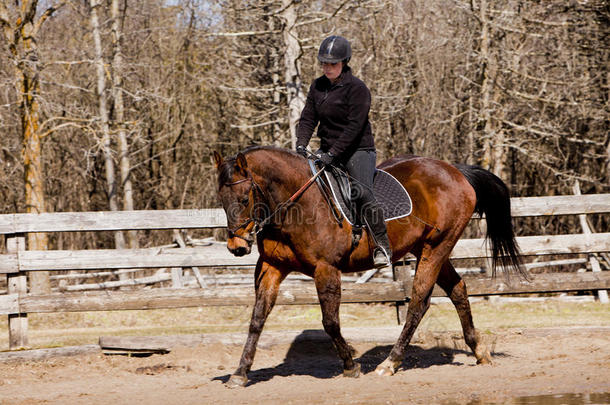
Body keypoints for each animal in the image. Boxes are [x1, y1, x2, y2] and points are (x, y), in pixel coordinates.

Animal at [210, 145, 524, 386]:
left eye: (244, 198)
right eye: (221, 200)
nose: (237, 247)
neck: (294, 206)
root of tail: (455, 171)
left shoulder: (326, 269)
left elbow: (330, 322)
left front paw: (351, 365)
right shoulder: (271, 267)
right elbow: (256, 319)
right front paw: (240, 373)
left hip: (436, 248)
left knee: (418, 302)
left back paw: (390, 363)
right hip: (428, 249)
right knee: (458, 289)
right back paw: (479, 351)